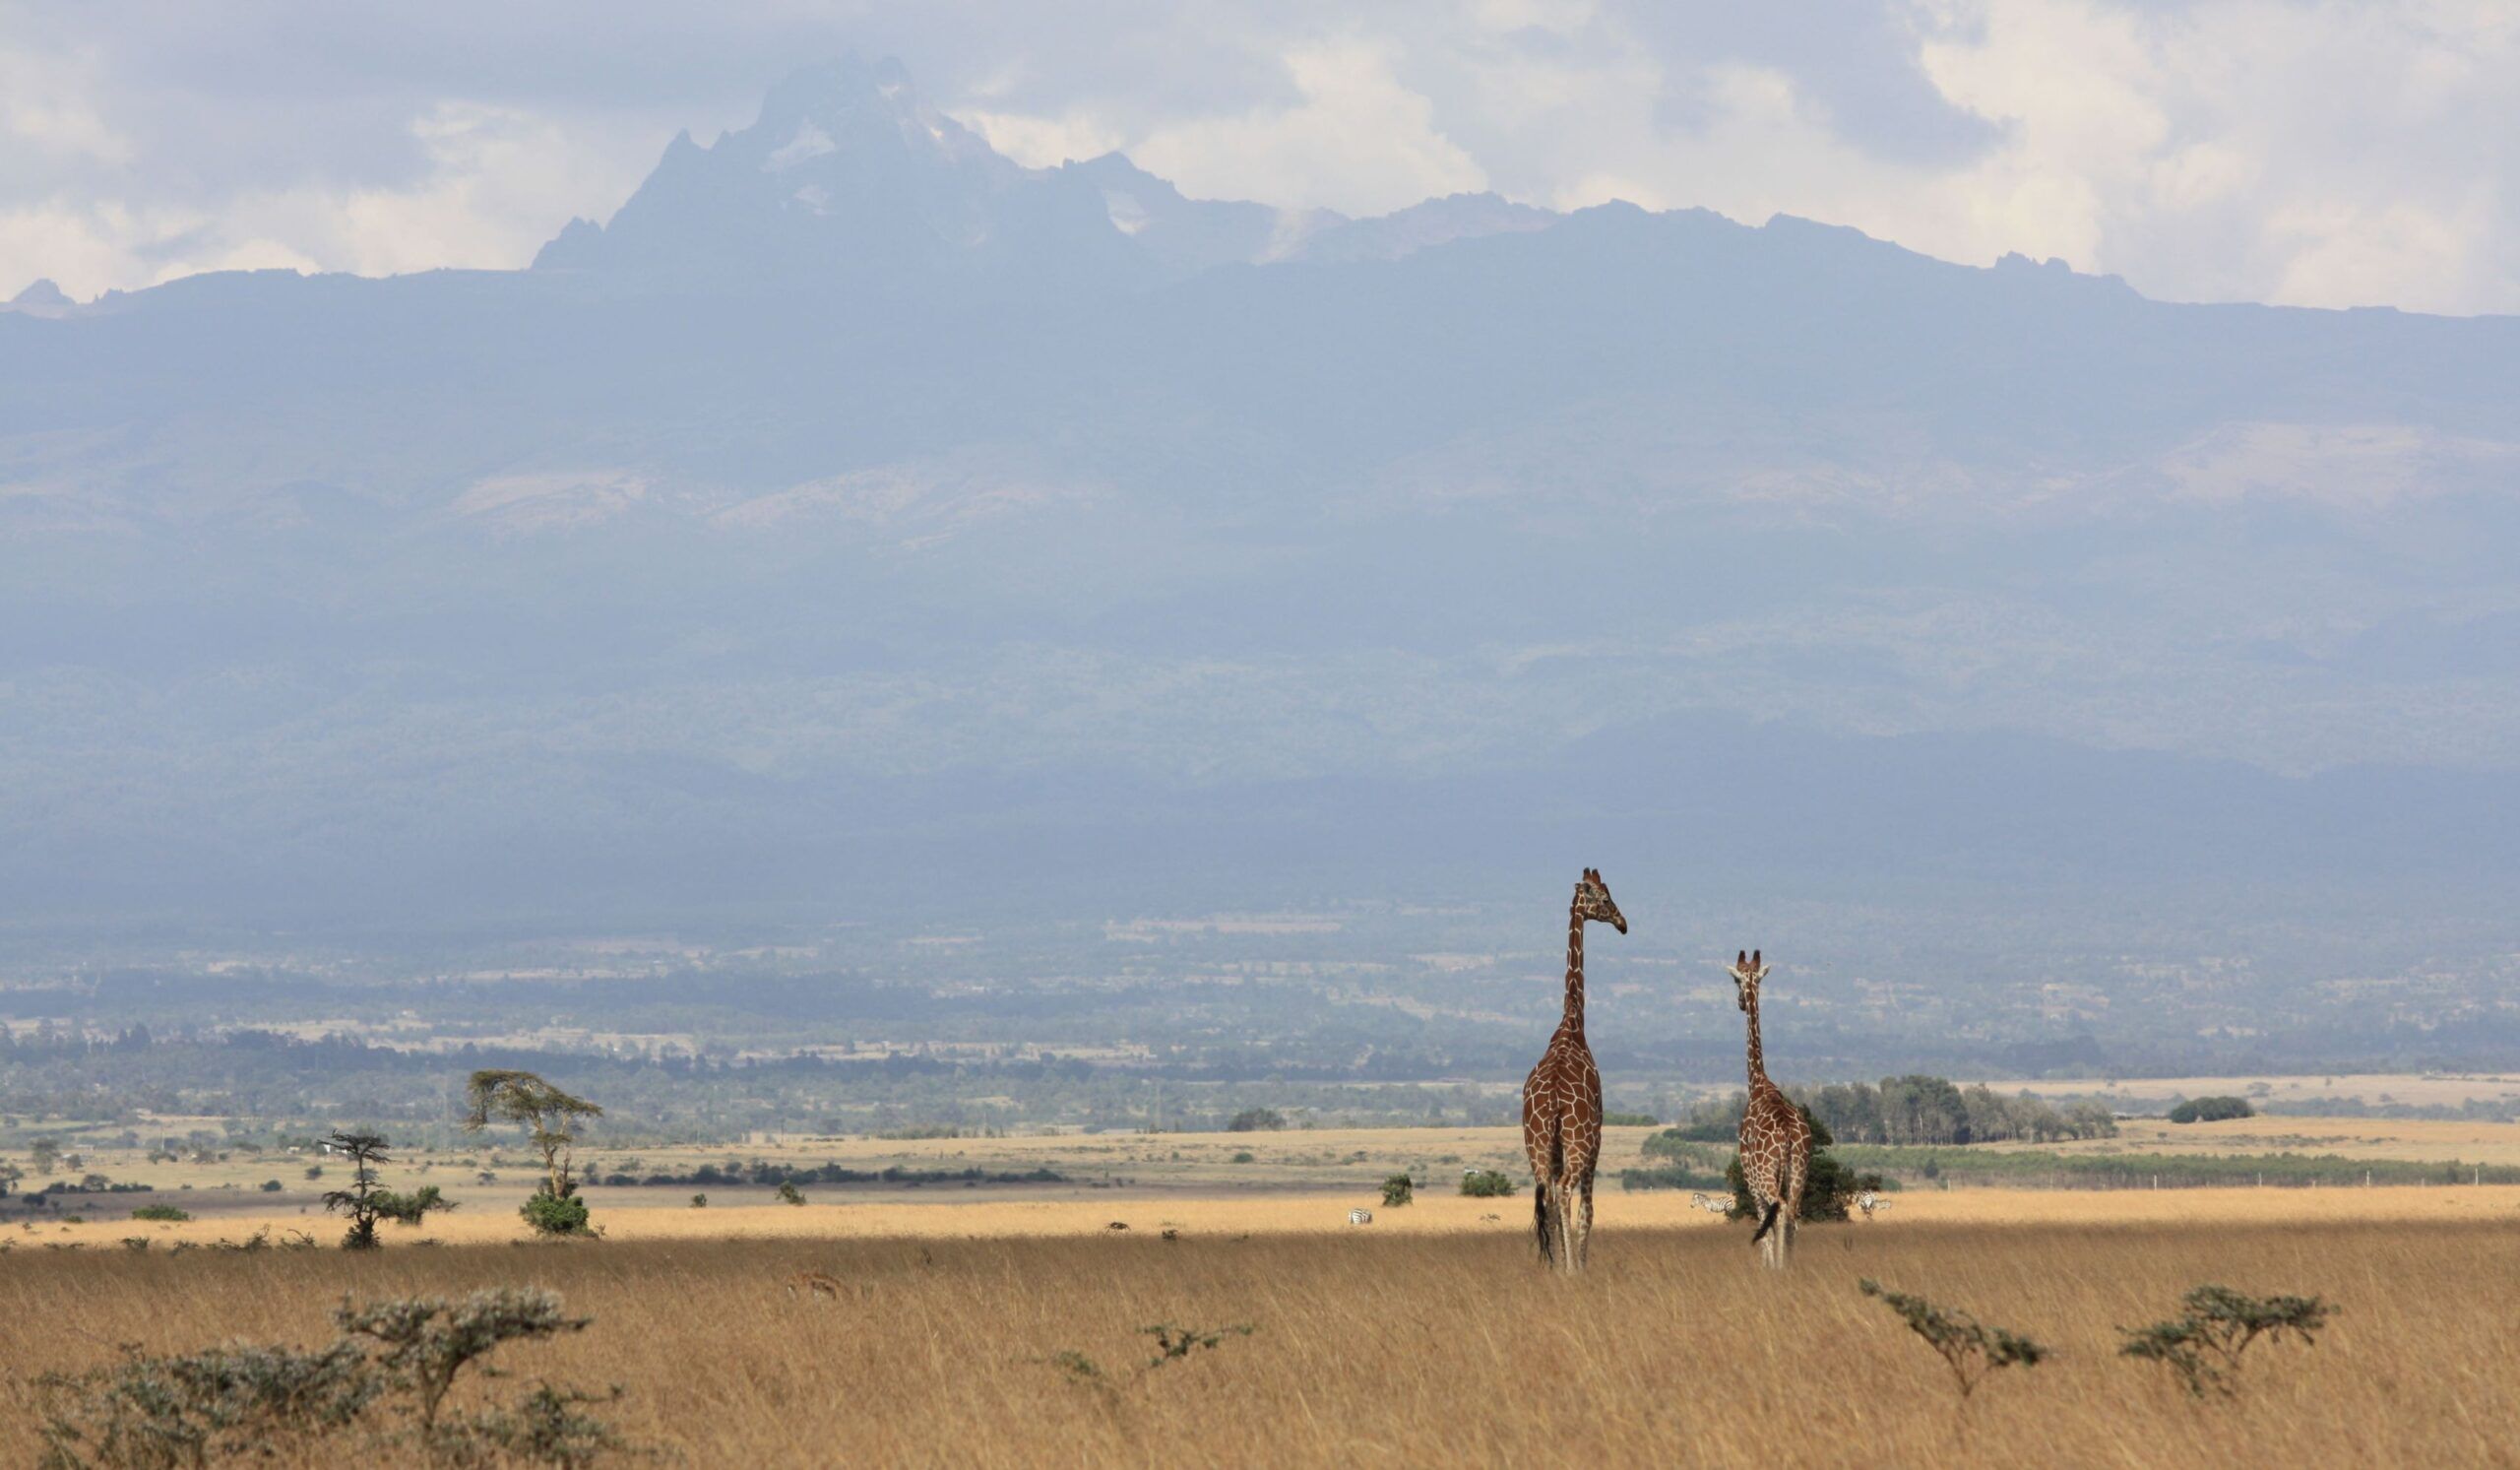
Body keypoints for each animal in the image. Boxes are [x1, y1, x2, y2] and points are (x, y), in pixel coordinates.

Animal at [1733, 947, 1814, 1270]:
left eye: (1735, 981)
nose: (1741, 1003)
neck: (1757, 1083)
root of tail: (1789, 1135)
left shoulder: (1749, 1176)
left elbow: (1762, 1224)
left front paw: (1766, 1266)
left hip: (1767, 1175)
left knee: (1779, 1211)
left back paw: (1779, 1267)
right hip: (1800, 1171)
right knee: (1793, 1212)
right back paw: (1789, 1266)